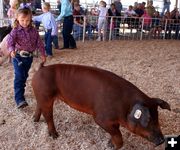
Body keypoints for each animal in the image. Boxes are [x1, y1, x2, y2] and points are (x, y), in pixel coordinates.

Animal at [31, 62, 171, 149]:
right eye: (148, 120)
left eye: (157, 117)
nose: (162, 140)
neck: (125, 106)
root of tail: (41, 68)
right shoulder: (100, 118)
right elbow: (118, 136)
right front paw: (113, 146)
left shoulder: (114, 122)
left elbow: (116, 132)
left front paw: (110, 144)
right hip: (46, 96)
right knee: (48, 116)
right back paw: (55, 136)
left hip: (41, 96)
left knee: (39, 107)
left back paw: (35, 120)